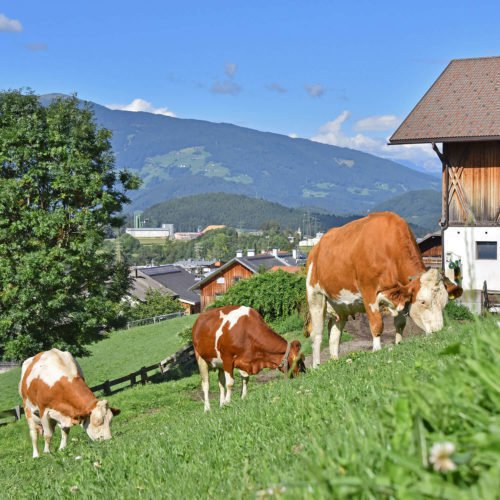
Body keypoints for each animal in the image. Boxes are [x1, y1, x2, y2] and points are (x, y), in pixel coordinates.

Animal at [306, 211, 462, 368]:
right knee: (317, 334)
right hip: (315, 295)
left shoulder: (400, 294)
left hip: (340, 305)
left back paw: (335, 360)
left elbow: (400, 323)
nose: (438, 331)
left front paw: (399, 343)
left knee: (334, 332)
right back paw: (316, 365)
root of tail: (316, 248)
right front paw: (376, 349)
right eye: (423, 302)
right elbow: (377, 323)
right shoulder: (368, 291)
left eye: (445, 303)